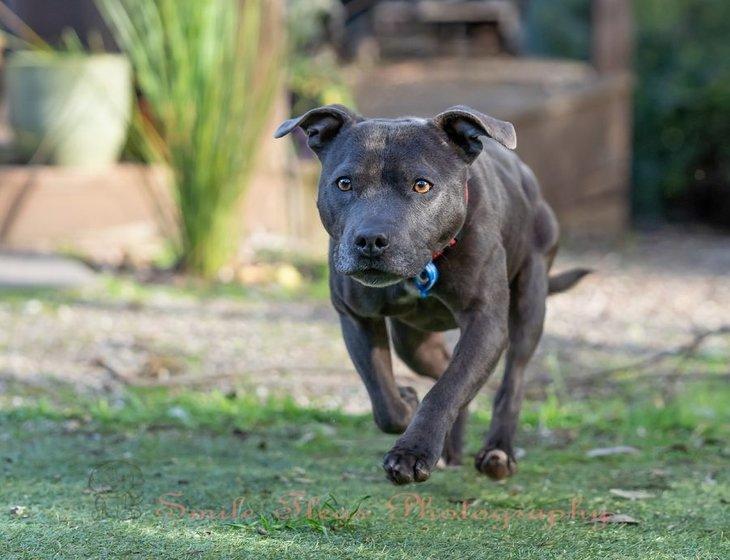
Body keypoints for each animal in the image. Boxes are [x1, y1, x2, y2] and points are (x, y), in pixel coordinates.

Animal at [272, 105, 584, 486]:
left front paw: (412, 453)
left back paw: (498, 452)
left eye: (422, 184)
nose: (370, 240)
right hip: (412, 341)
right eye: (344, 183)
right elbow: (385, 399)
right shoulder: (356, 317)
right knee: (442, 366)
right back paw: (450, 446)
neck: (425, 266)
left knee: (512, 380)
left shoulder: (486, 324)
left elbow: (447, 390)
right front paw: (406, 404)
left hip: (530, 302)